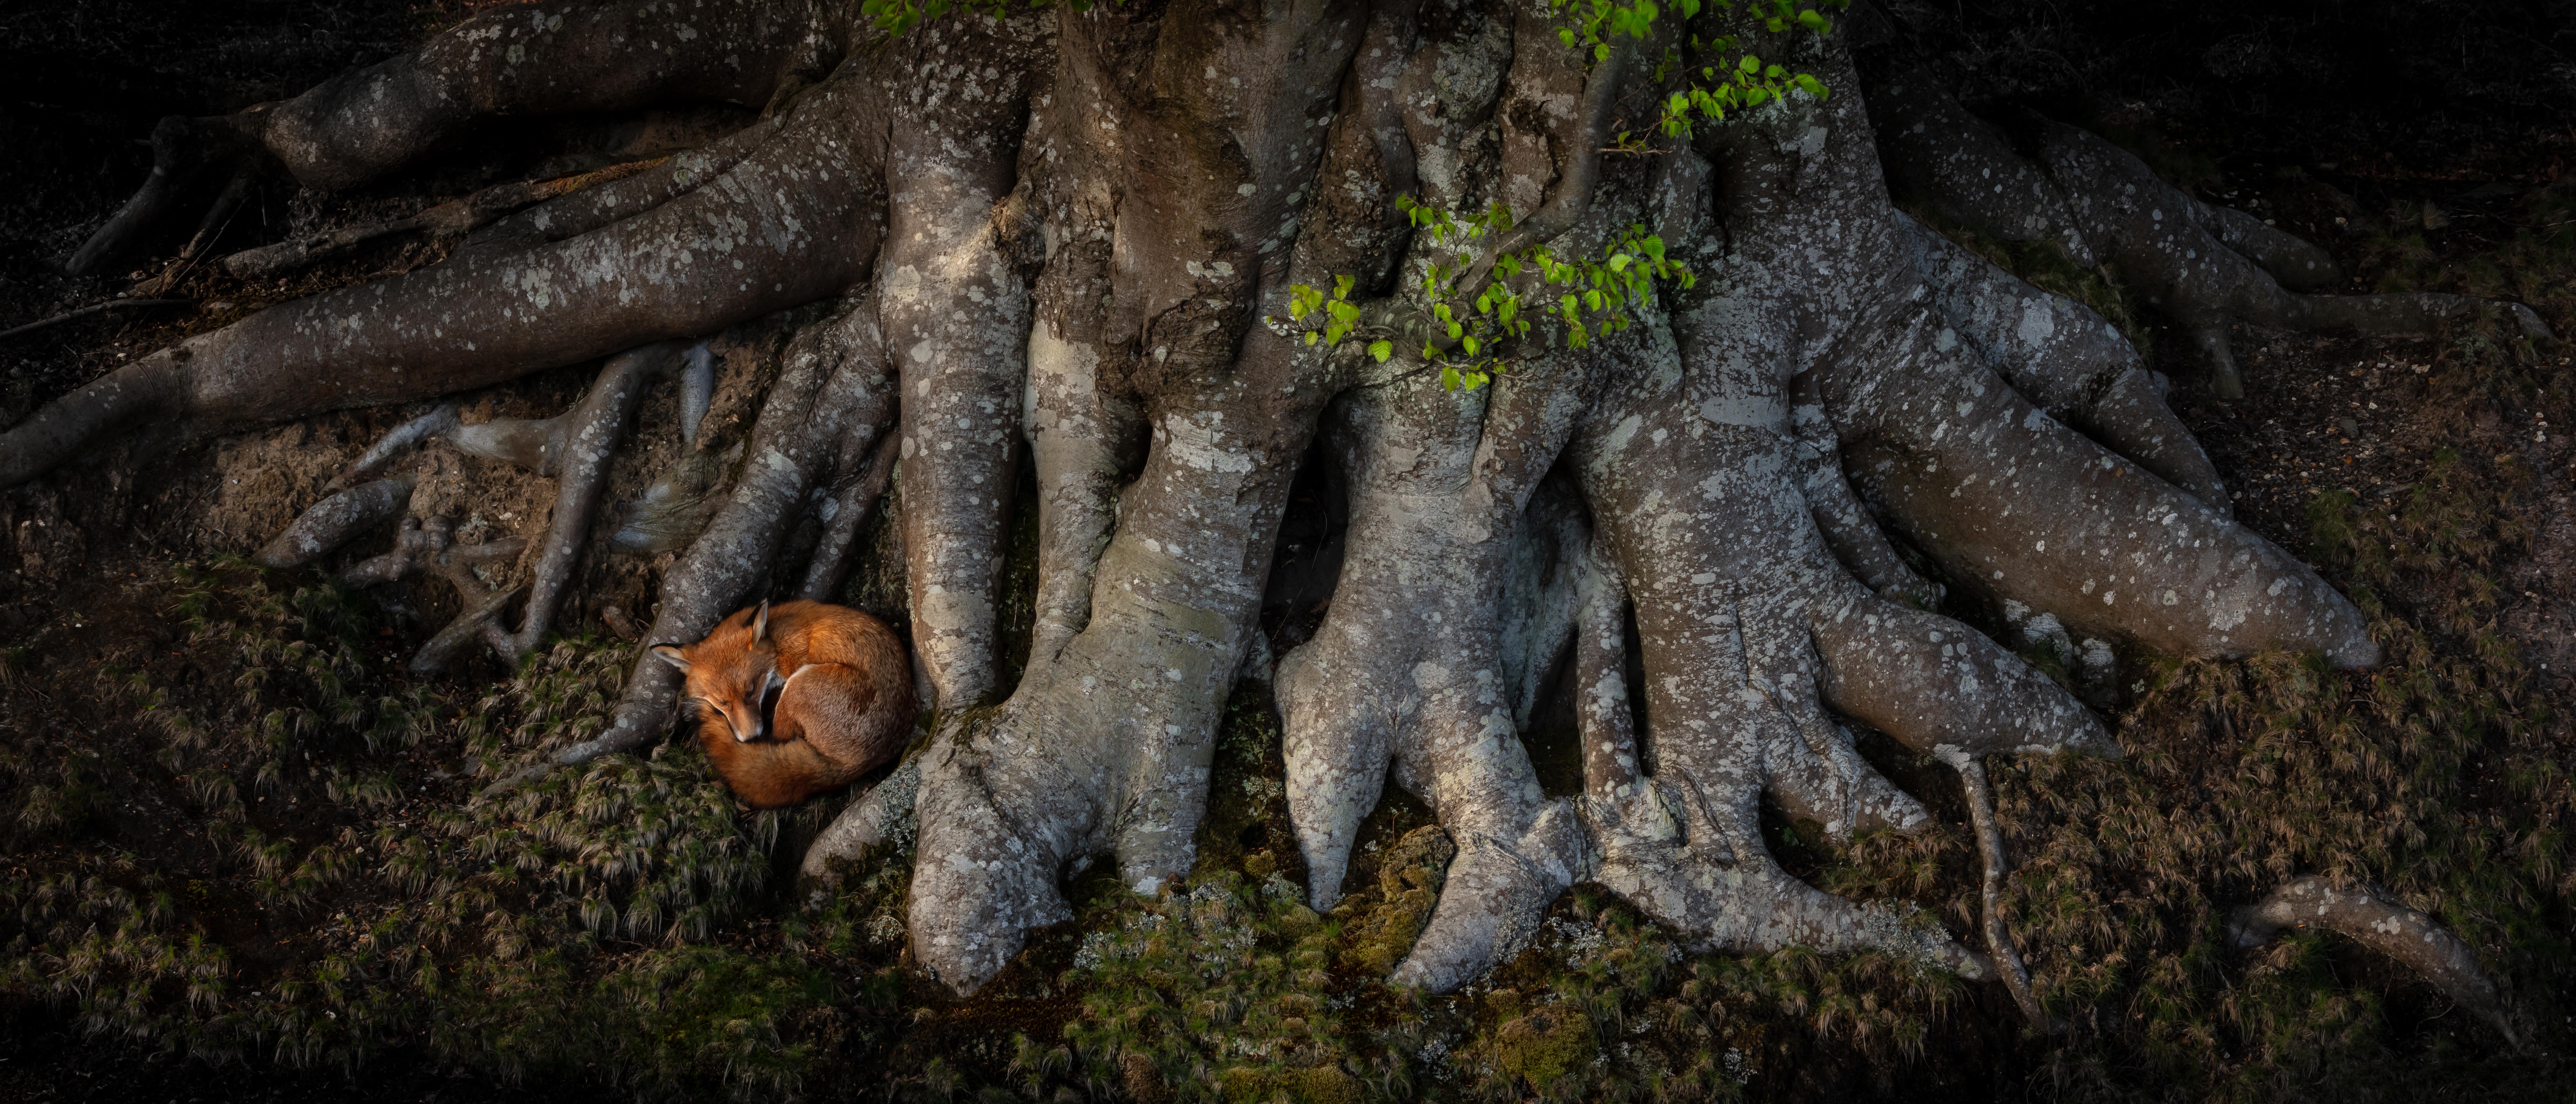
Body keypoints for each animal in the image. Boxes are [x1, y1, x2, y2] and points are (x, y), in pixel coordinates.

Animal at [649, 599, 914, 809]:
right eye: (723, 702)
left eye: (751, 690)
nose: (751, 738)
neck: (778, 643)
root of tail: (859, 763)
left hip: (799, 687)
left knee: (782, 738)